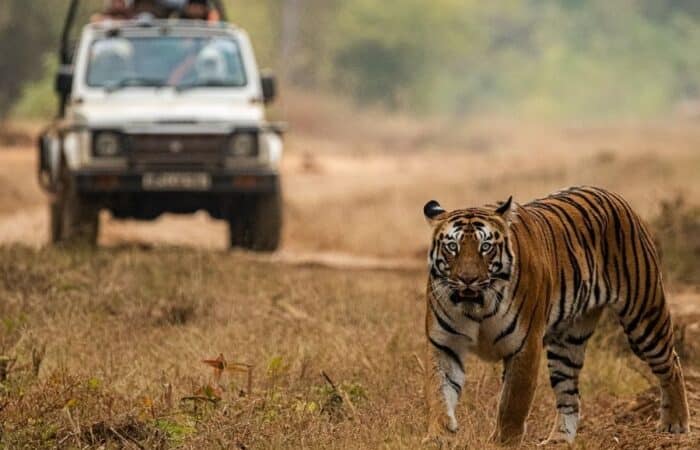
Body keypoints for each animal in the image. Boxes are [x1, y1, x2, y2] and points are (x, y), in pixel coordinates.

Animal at [422, 186, 689, 446]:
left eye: (485, 247)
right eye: (452, 247)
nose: (467, 280)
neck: (477, 306)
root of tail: (613, 195)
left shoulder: (525, 346)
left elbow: (512, 403)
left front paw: (503, 442)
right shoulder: (444, 345)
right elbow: (439, 393)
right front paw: (439, 435)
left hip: (645, 316)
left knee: (671, 363)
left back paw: (675, 424)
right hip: (567, 343)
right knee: (570, 396)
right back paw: (559, 439)